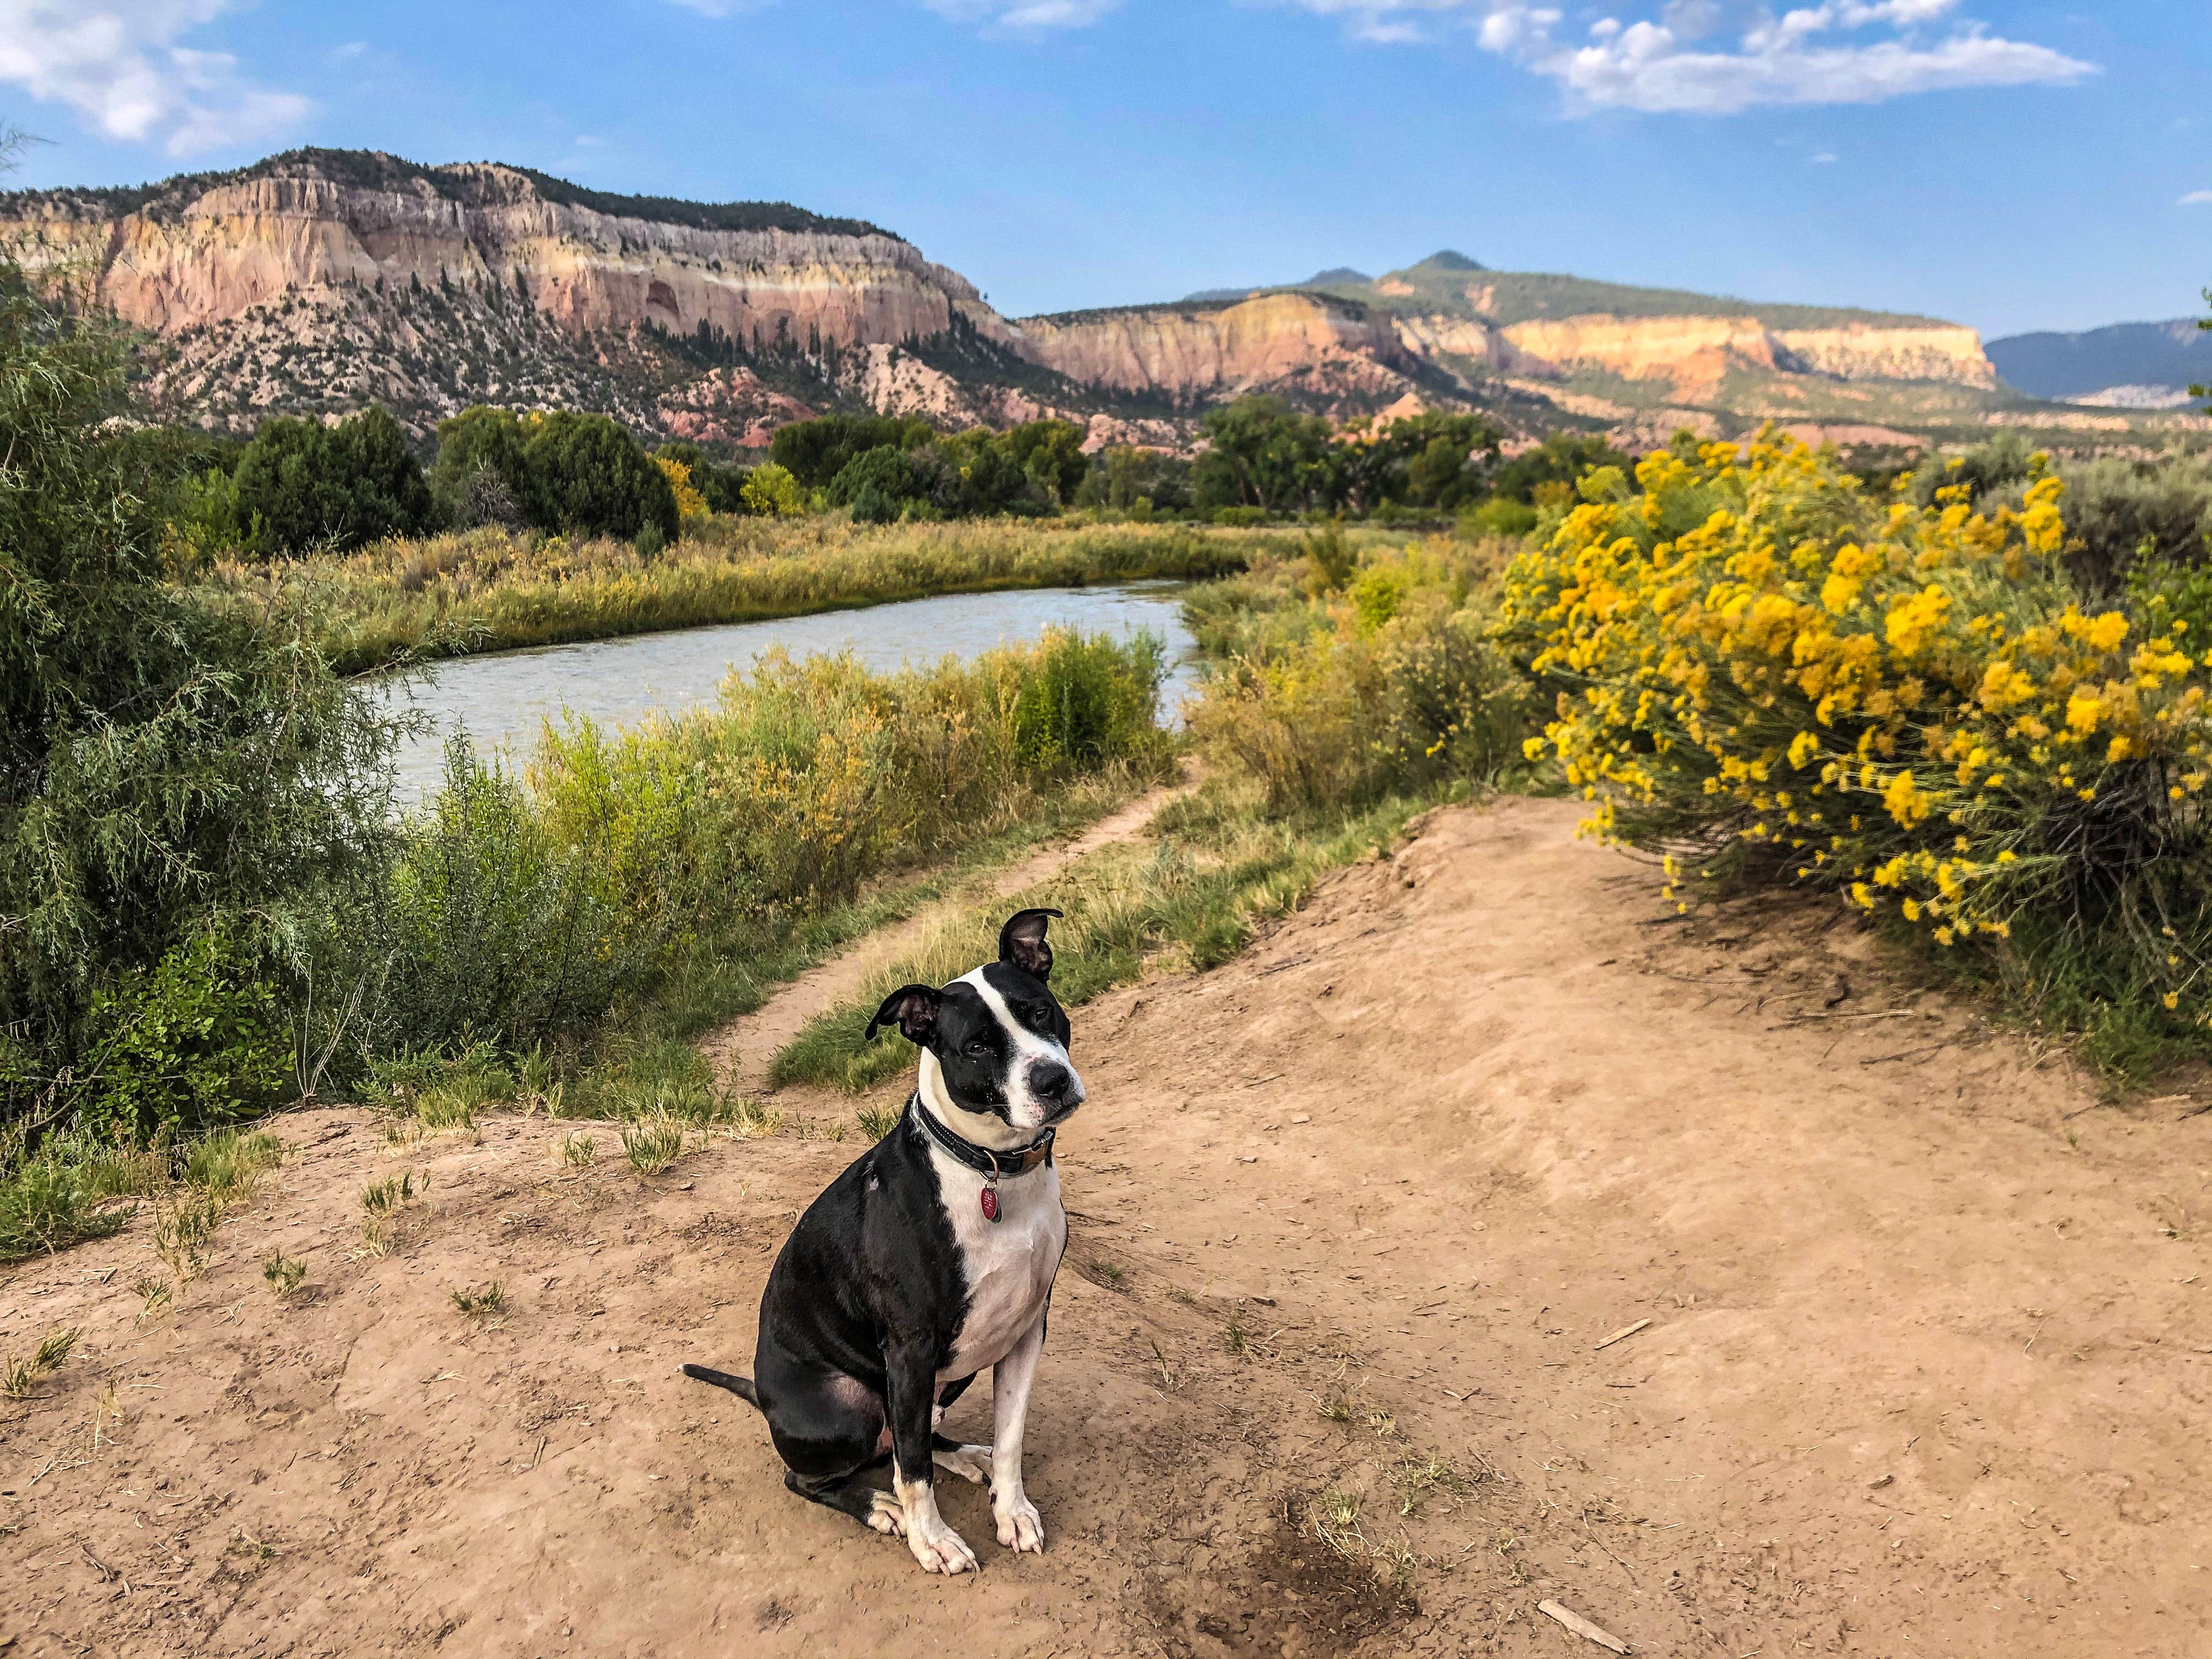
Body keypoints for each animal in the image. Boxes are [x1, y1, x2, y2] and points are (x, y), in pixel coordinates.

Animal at [681, 911, 1079, 1575]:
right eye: (977, 1046)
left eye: (1041, 1012)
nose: (1053, 1080)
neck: (990, 1170)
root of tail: (763, 1397)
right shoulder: (911, 1350)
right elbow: (913, 1472)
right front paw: (933, 1541)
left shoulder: (1026, 1327)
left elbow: (1010, 1437)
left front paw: (1011, 1509)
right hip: (849, 1404)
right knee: (830, 1472)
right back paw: (880, 1508)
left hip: (946, 1374)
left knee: (912, 1435)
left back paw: (962, 1456)